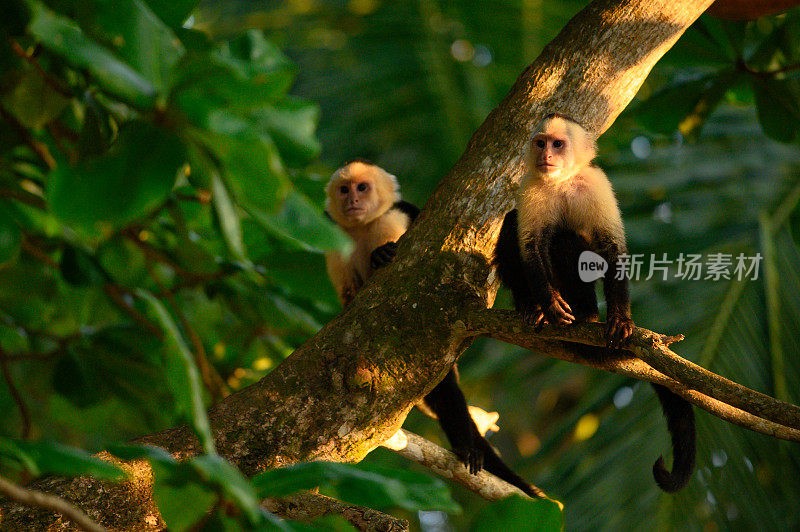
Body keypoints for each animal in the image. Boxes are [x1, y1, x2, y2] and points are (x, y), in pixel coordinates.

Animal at [324, 159, 544, 498]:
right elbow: (350, 299)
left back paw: (467, 446)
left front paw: (381, 255)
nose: (353, 200)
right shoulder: (336, 242)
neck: (361, 229)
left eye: (362, 187)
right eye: (344, 189)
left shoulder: (394, 217)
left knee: (446, 388)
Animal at [494, 114, 692, 492]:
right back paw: (532, 308)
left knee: (568, 242)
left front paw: (622, 319)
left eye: (558, 144)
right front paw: (547, 303)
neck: (561, 181)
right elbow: (531, 246)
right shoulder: (530, 187)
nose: (545, 155)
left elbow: (611, 247)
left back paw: (587, 313)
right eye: (540, 143)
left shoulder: (597, 185)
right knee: (519, 227)